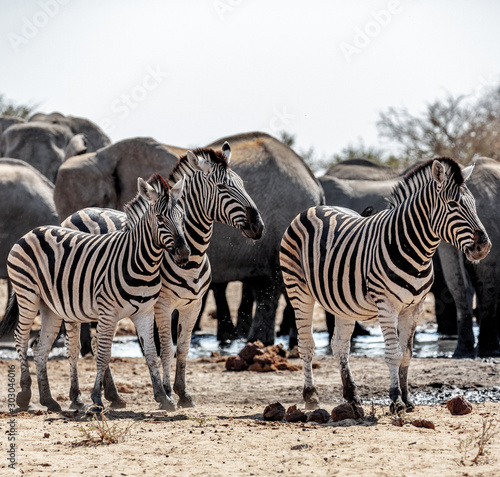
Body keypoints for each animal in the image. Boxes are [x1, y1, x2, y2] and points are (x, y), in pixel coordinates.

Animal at [0, 173, 189, 410]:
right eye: (160, 219)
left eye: (182, 218)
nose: (184, 254)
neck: (142, 262)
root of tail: (34, 230)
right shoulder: (108, 313)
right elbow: (103, 355)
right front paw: (97, 399)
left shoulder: (145, 313)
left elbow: (151, 354)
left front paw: (163, 398)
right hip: (27, 295)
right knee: (21, 337)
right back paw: (25, 395)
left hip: (51, 305)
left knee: (40, 347)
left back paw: (49, 400)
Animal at [60, 139, 264, 410]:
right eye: (222, 187)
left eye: (242, 184)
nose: (258, 227)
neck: (193, 257)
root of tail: (77, 213)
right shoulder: (162, 305)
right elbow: (166, 348)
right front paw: (167, 392)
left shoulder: (193, 305)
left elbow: (184, 348)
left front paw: (183, 393)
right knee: (76, 343)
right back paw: (79, 398)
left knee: (97, 342)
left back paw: (113, 396)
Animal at [282, 159, 492, 412]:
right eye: (453, 204)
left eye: (474, 205)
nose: (484, 247)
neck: (416, 251)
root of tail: (315, 208)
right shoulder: (386, 305)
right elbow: (393, 353)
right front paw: (395, 399)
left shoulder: (414, 307)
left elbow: (407, 354)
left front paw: (408, 399)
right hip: (298, 290)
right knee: (306, 344)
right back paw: (311, 396)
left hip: (342, 302)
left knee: (340, 345)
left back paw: (352, 396)